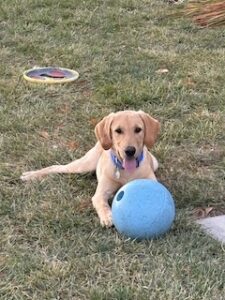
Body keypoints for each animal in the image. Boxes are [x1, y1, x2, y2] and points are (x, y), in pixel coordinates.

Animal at [20, 110, 159, 227]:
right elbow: (102, 203)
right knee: (56, 167)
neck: (126, 171)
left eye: (138, 129)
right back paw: (30, 175)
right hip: (83, 165)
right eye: (118, 130)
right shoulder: (99, 194)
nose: (130, 151)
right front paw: (107, 216)